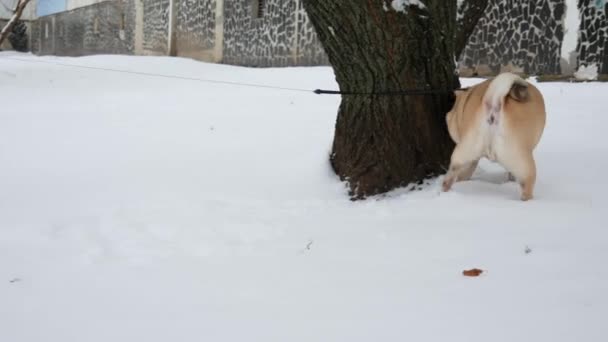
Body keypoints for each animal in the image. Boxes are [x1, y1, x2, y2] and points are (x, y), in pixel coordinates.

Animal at [442, 72, 548, 200]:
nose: (448, 115)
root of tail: (496, 100)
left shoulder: (471, 158)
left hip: (465, 151)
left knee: (452, 173)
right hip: (519, 159)